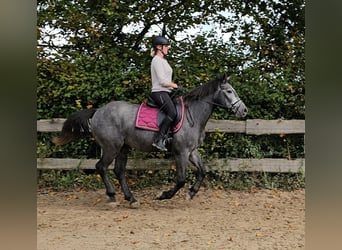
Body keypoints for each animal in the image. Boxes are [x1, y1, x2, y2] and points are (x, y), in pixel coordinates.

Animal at [52, 73, 247, 206]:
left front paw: (191, 193)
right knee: (101, 167)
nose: (244, 110)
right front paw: (164, 195)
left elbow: (203, 171)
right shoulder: (181, 152)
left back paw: (131, 199)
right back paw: (113, 196)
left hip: (123, 148)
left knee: (118, 171)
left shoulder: (192, 151)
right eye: (229, 91)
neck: (193, 115)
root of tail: (98, 111)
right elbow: (181, 179)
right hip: (111, 147)